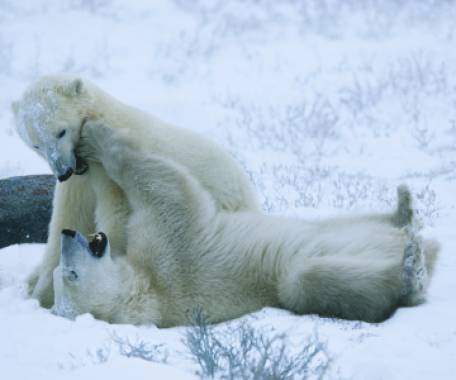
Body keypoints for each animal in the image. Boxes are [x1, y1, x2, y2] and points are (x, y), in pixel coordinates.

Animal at [11, 75, 260, 308]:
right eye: (35, 144)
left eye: (61, 132)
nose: (62, 171)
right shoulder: (78, 182)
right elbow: (70, 217)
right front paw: (41, 292)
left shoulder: (109, 171)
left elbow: (119, 217)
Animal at [51, 123, 440, 326]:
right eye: (69, 275)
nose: (67, 234)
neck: (149, 291)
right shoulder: (170, 256)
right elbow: (167, 189)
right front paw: (99, 136)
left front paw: (90, 138)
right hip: (298, 282)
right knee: (308, 279)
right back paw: (411, 268)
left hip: (340, 227)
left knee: (341, 223)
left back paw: (404, 209)